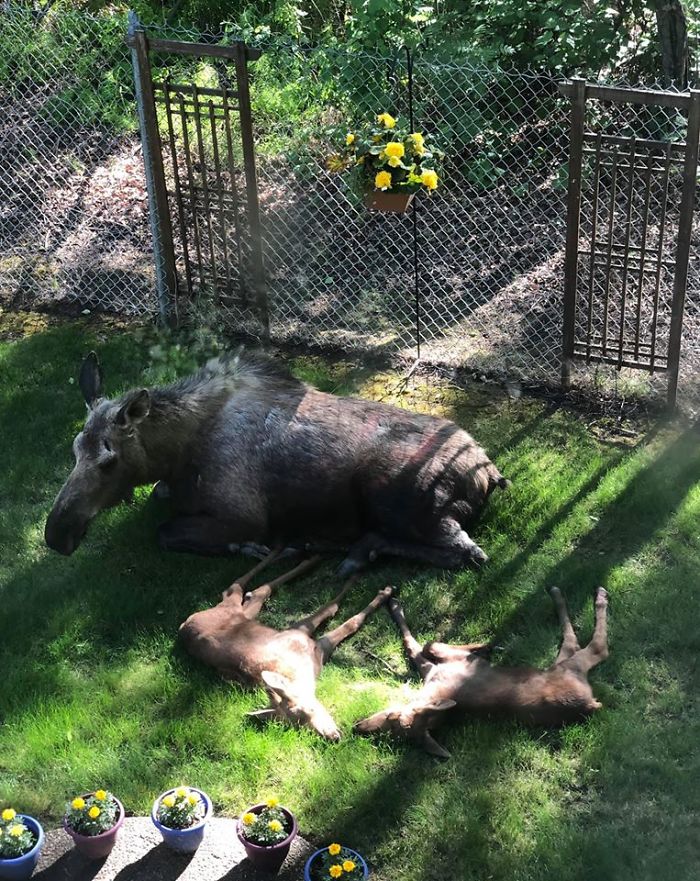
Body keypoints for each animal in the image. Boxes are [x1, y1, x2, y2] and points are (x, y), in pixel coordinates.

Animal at [45, 348, 508, 572]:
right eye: (74, 449)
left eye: (108, 460)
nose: (56, 534)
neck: (174, 457)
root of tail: (490, 473)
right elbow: (160, 502)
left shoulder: (243, 514)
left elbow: (165, 532)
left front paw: (247, 547)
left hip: (401, 502)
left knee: (467, 553)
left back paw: (348, 550)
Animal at [178, 548, 394, 740]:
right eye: (300, 726)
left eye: (309, 709)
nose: (332, 736)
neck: (303, 671)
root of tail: (183, 625)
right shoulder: (314, 646)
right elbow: (342, 617)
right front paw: (381, 591)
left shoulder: (299, 634)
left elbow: (334, 609)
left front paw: (378, 589)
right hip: (242, 612)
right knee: (250, 590)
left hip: (236, 611)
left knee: (244, 588)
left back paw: (303, 556)